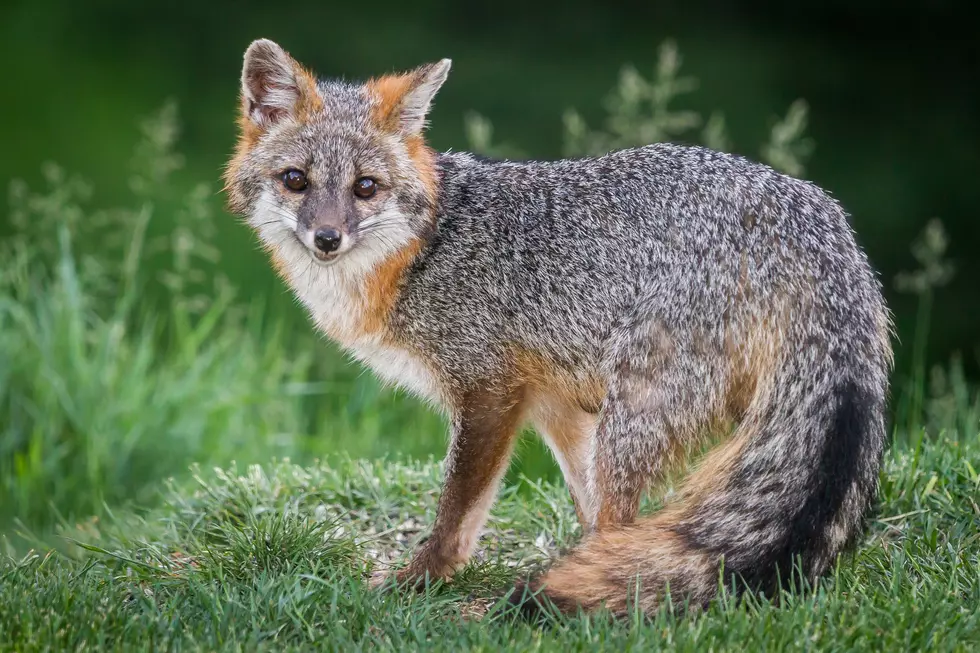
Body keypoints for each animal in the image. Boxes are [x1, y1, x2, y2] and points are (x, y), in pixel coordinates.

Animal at [224, 40, 896, 616]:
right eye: (295, 180)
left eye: (365, 188)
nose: (327, 238)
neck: (424, 250)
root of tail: (815, 219)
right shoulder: (556, 407)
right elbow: (586, 509)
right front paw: (583, 568)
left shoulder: (490, 393)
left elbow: (457, 512)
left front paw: (422, 579)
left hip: (634, 417)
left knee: (625, 514)